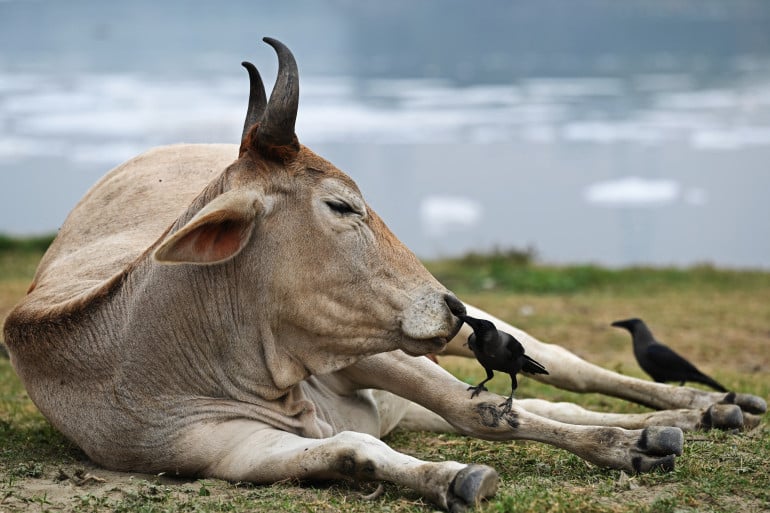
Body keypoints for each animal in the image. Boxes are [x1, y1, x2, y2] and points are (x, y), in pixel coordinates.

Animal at [4, 38, 760, 510]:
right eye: (341, 205)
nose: (450, 306)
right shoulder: (224, 450)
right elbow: (355, 449)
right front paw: (451, 479)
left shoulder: (370, 348)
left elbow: (483, 409)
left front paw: (624, 447)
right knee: (549, 401)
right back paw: (677, 421)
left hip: (471, 339)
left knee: (566, 371)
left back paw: (702, 406)